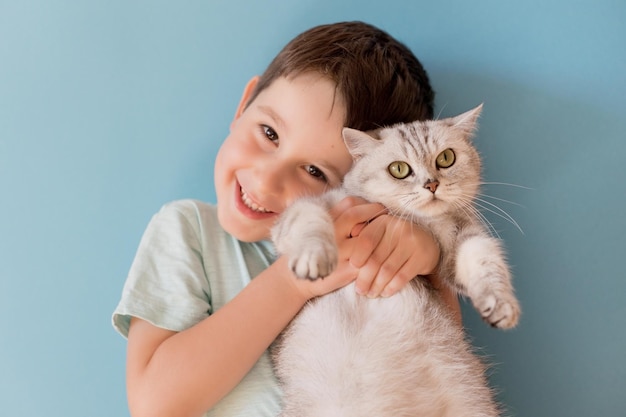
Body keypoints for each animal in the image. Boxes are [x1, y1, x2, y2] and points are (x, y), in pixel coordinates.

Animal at [270, 105, 520, 416]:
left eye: (446, 158)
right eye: (399, 169)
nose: (432, 184)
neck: (420, 222)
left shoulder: (463, 242)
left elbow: (485, 262)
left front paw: (500, 303)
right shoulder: (317, 206)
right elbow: (310, 221)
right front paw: (315, 256)